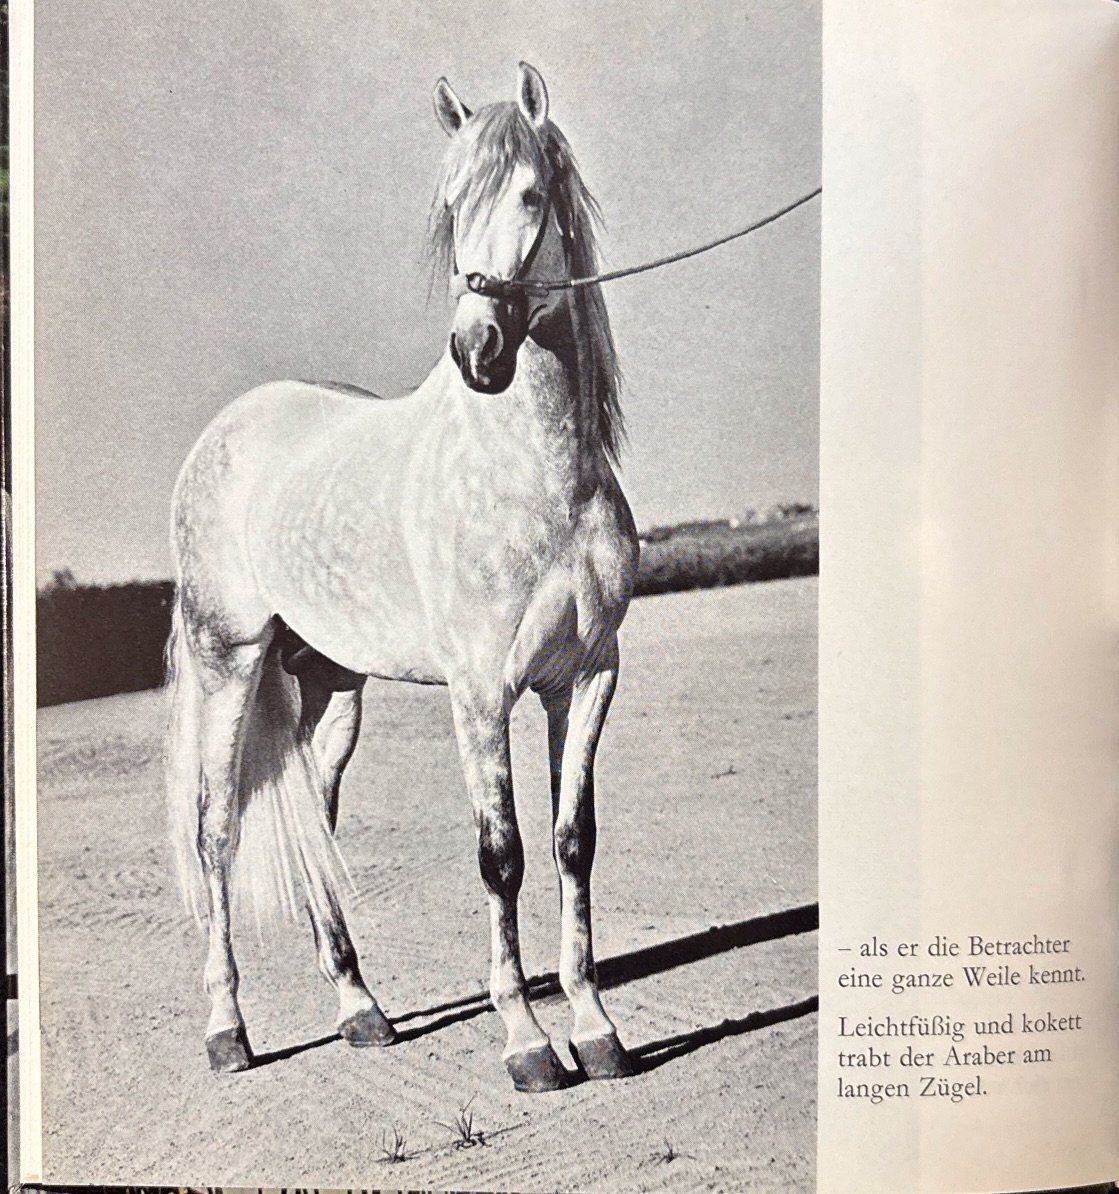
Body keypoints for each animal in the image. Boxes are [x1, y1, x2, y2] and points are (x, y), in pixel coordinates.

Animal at [164, 62, 640, 1093]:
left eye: (531, 196)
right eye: (451, 206)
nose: (478, 352)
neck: (539, 478)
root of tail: (223, 434)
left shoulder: (586, 680)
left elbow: (571, 844)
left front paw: (595, 1029)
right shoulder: (480, 691)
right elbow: (500, 856)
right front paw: (526, 1043)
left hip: (330, 684)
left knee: (319, 825)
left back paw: (360, 1011)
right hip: (228, 663)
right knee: (215, 830)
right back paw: (227, 1032)